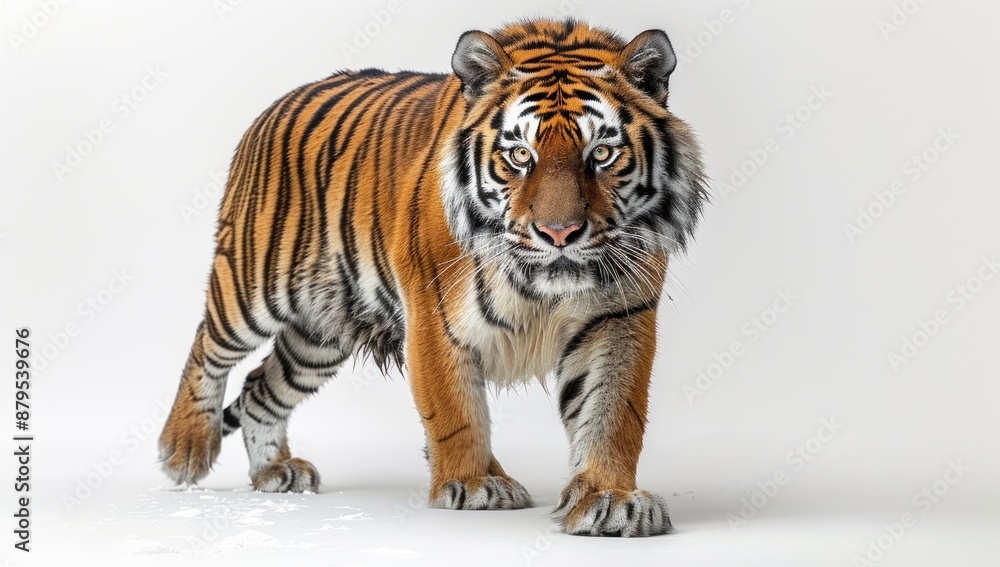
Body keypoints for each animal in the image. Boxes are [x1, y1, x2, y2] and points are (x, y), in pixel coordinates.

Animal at [158, 18, 707, 537]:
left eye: (602, 154)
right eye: (520, 156)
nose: (560, 233)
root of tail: (274, 106)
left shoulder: (618, 318)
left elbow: (611, 412)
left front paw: (609, 499)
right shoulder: (435, 320)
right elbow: (456, 412)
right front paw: (474, 484)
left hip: (321, 331)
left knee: (261, 385)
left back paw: (274, 471)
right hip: (253, 286)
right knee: (207, 346)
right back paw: (183, 448)